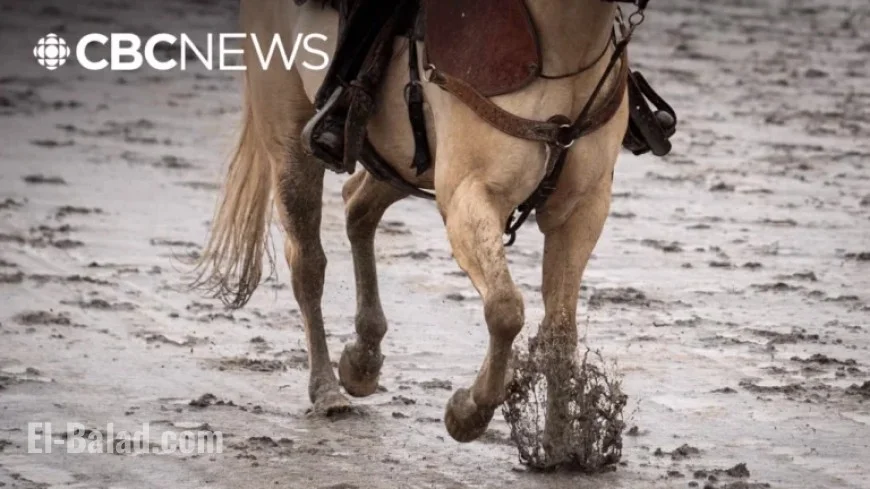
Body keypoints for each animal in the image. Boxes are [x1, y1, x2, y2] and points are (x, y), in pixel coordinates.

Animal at [195, 0, 630, 445]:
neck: (562, 46)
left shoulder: (582, 209)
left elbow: (560, 330)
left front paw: (561, 446)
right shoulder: (469, 198)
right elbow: (506, 310)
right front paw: (468, 413)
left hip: (400, 164)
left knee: (357, 207)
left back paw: (362, 360)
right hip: (288, 141)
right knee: (308, 264)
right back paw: (328, 391)